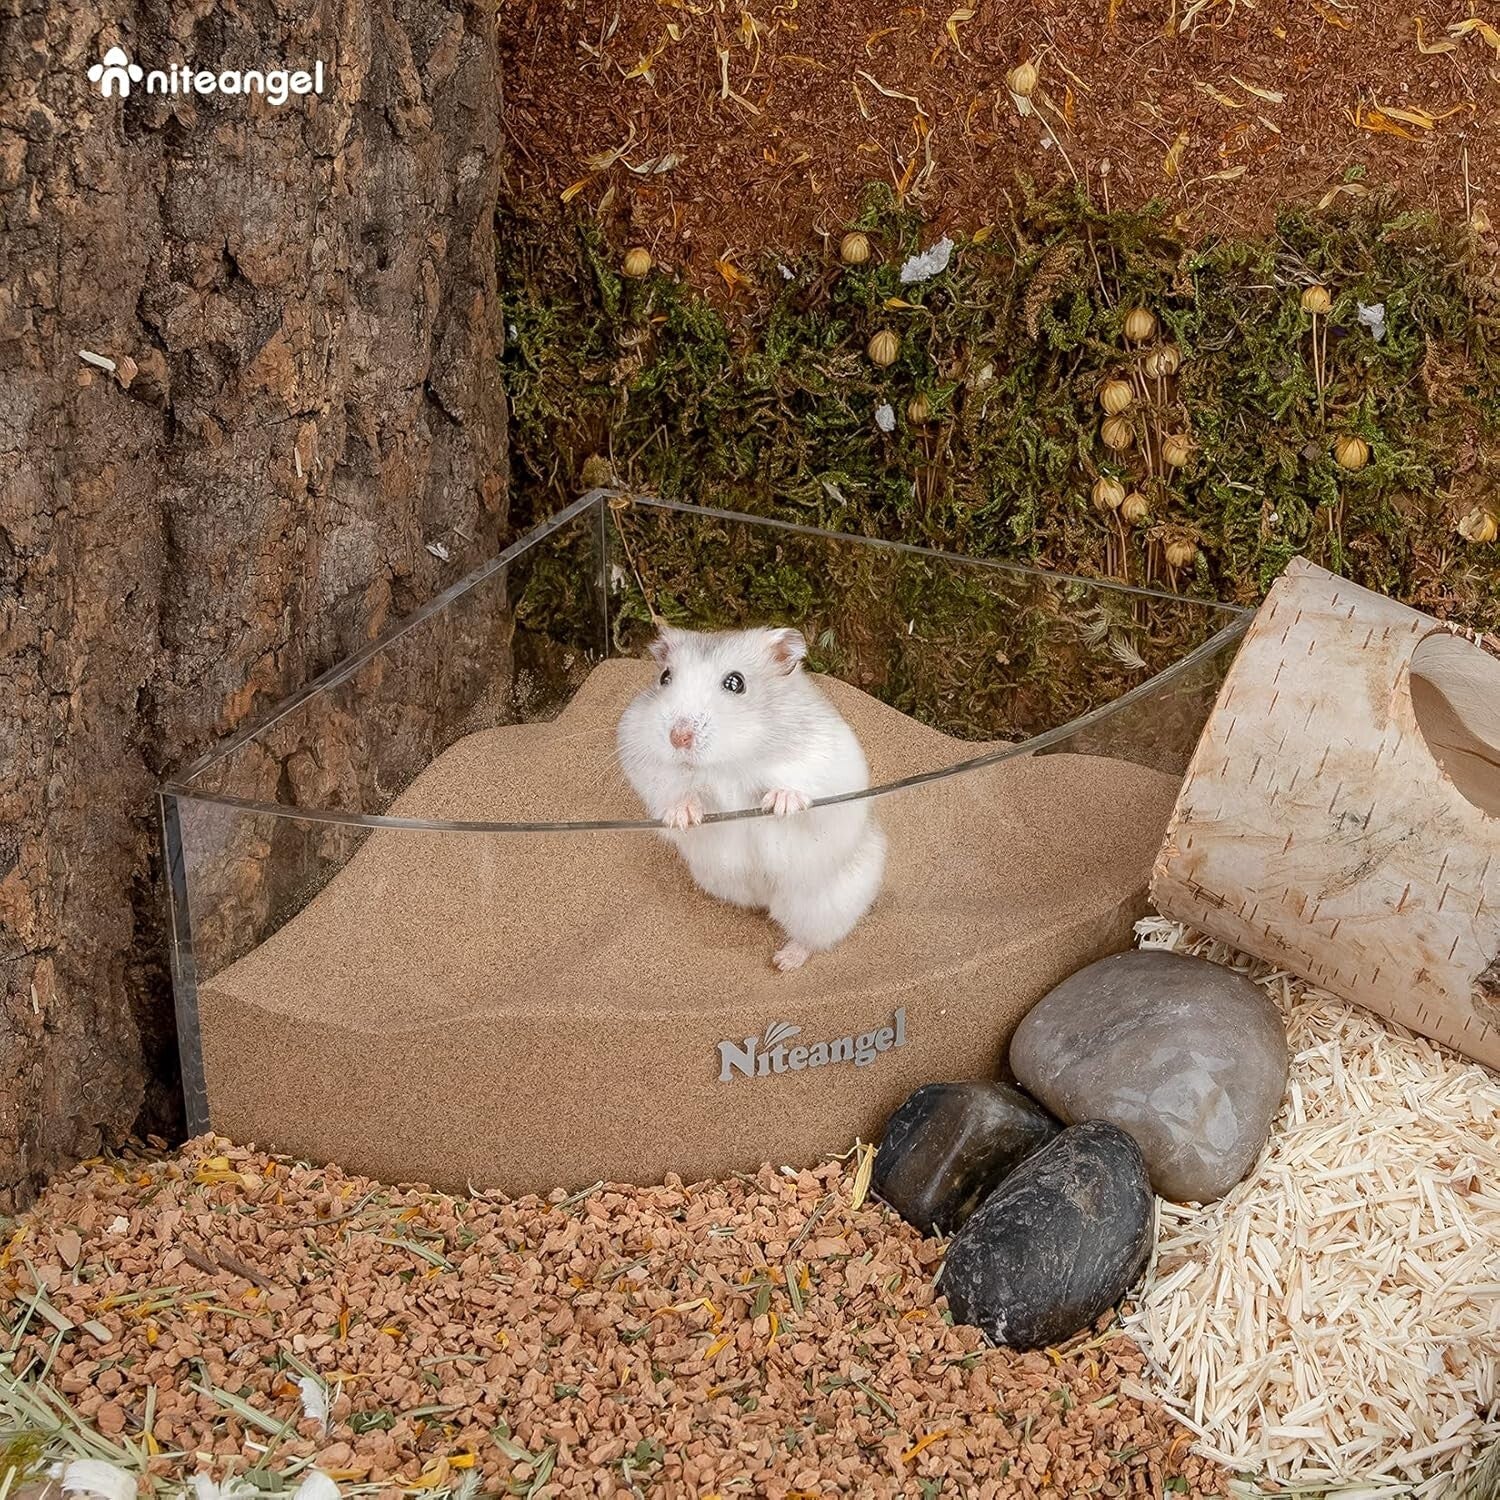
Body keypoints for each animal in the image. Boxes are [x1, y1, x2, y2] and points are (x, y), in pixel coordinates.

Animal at [617, 624, 887, 971]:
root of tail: (763, 898)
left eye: (736, 683)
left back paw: (783, 963)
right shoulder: (646, 766)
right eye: (665, 677)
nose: (678, 738)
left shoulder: (825, 762)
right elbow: (676, 793)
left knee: (812, 939)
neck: (728, 764)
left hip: (820, 906)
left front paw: (780, 803)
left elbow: (803, 787)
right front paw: (683, 817)